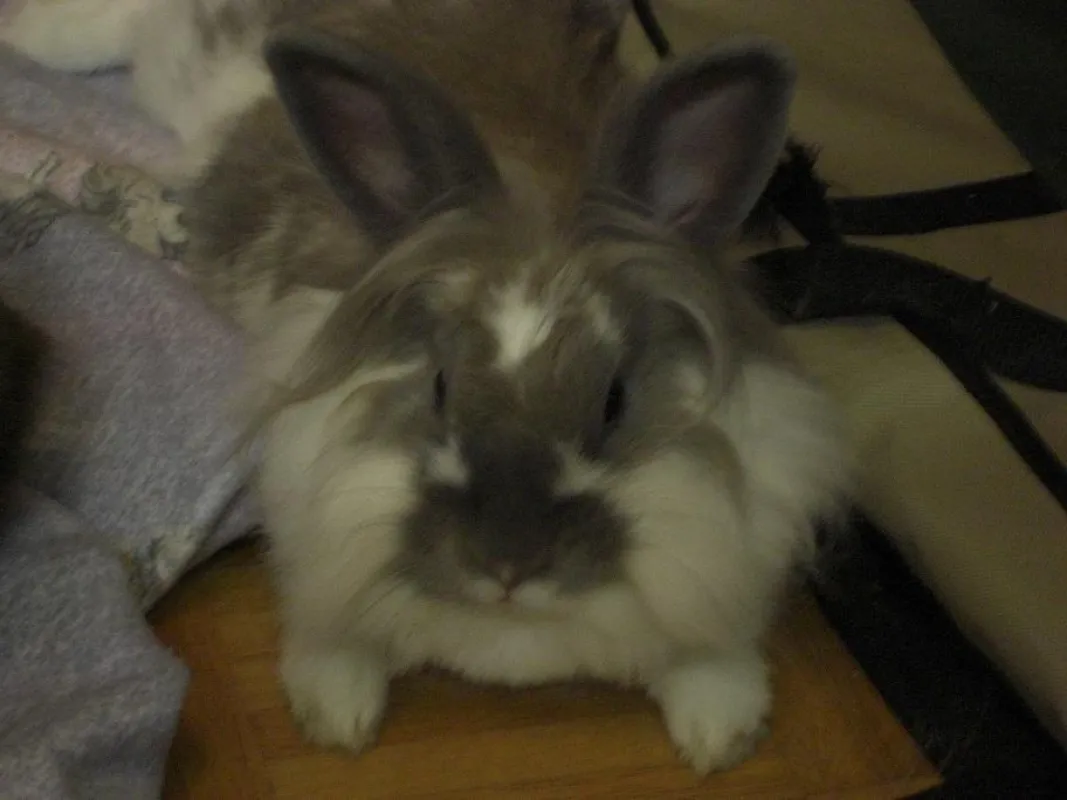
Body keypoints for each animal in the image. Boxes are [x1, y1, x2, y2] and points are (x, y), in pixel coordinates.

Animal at [3, 0, 852, 775]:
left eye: (613, 401)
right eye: (440, 386)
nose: (507, 567)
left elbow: (712, 656)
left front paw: (721, 730)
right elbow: (331, 634)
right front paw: (335, 713)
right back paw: (22, 39)